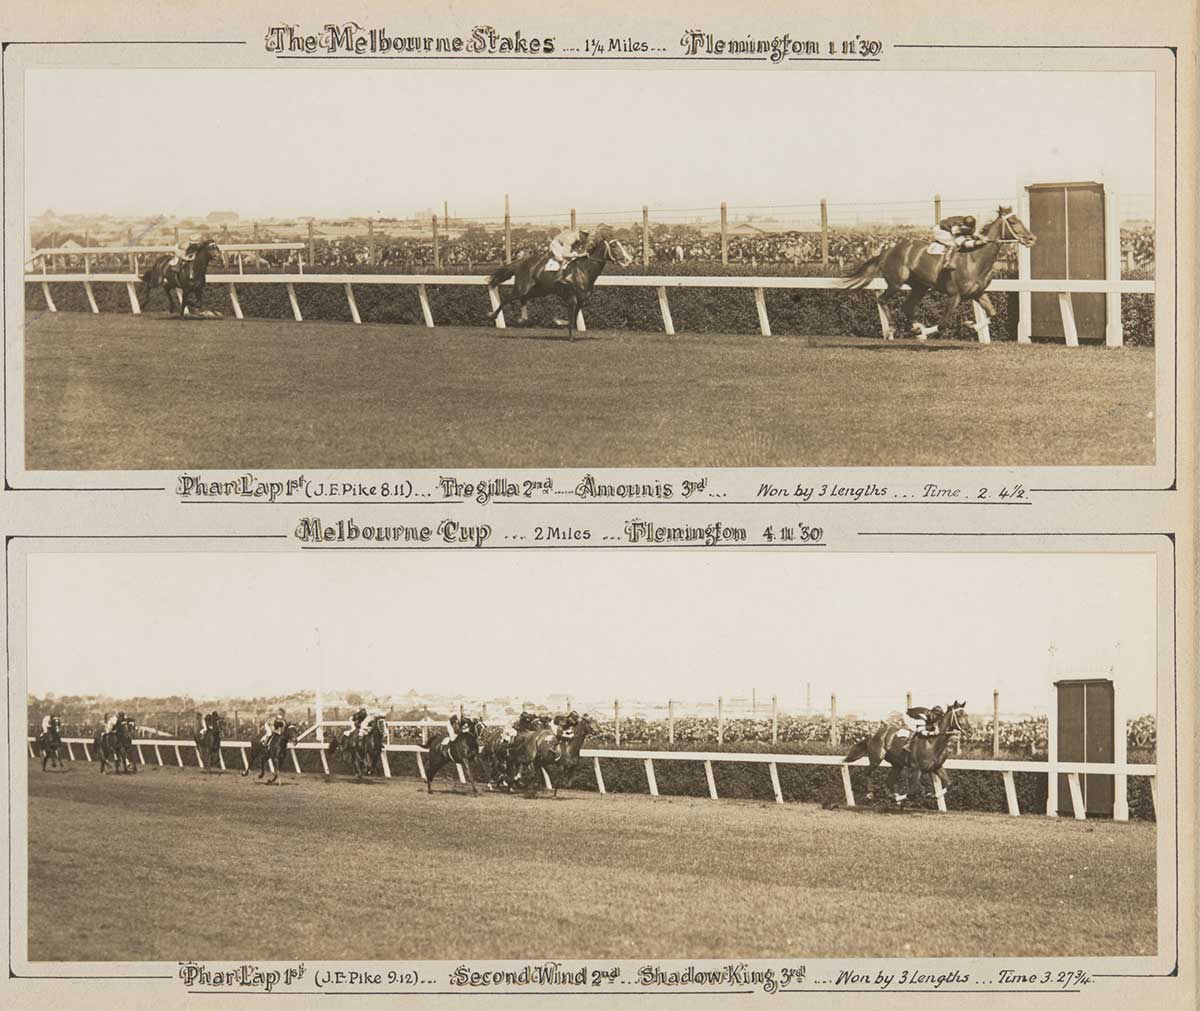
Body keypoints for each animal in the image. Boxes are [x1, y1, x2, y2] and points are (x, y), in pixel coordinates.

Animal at [487, 235, 638, 338]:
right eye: (614, 247)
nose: (628, 259)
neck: (584, 270)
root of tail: (521, 262)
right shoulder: (572, 298)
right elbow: (572, 317)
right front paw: (568, 332)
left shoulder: (581, 299)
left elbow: (574, 317)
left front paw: (560, 322)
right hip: (522, 287)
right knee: (507, 299)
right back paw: (493, 315)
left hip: (538, 290)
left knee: (523, 299)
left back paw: (522, 318)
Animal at [840, 207, 1036, 338]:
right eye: (1013, 222)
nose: (1032, 238)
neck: (974, 259)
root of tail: (886, 251)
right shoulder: (955, 295)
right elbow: (943, 323)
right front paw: (926, 331)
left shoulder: (978, 293)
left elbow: (993, 313)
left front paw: (972, 326)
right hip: (896, 281)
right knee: (882, 299)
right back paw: (894, 327)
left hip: (920, 287)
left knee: (906, 306)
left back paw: (915, 326)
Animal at [840, 701, 969, 802]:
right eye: (959, 714)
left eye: (966, 714)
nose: (968, 729)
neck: (933, 743)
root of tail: (873, 735)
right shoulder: (916, 769)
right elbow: (912, 793)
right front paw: (902, 797)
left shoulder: (937, 767)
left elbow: (949, 784)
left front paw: (932, 795)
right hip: (876, 758)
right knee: (867, 772)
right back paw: (871, 793)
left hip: (897, 765)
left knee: (888, 782)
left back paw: (890, 795)